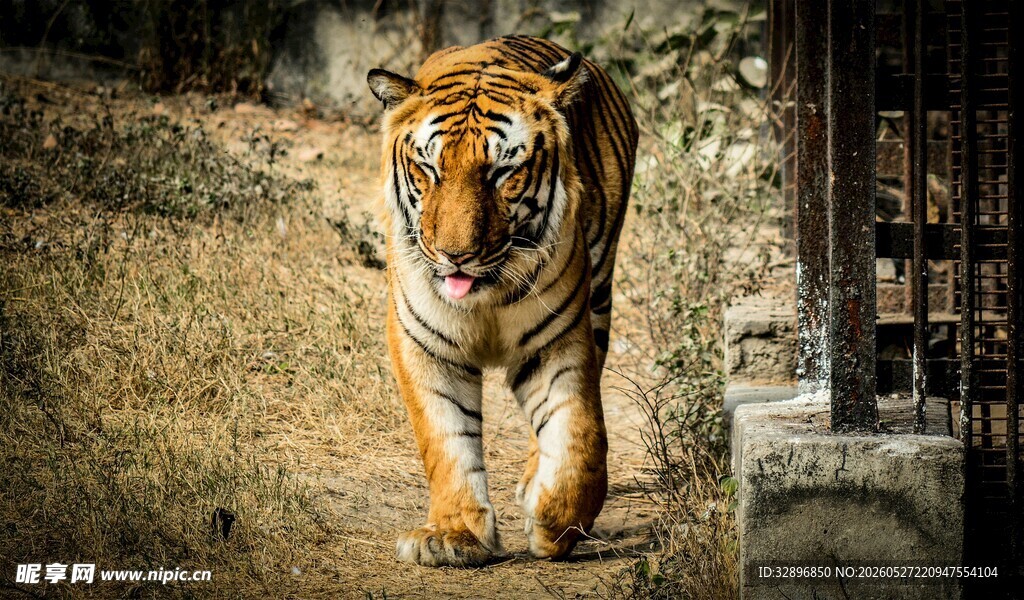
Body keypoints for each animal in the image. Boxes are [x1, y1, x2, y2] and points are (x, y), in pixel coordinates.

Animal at [367, 34, 638, 567]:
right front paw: (453, 535)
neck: (484, 299)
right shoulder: (424, 344)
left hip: (599, 292)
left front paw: (556, 522)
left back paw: (535, 483)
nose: (456, 255)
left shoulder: (557, 340)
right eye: (429, 168)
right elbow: (446, 439)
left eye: (501, 172)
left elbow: (579, 432)